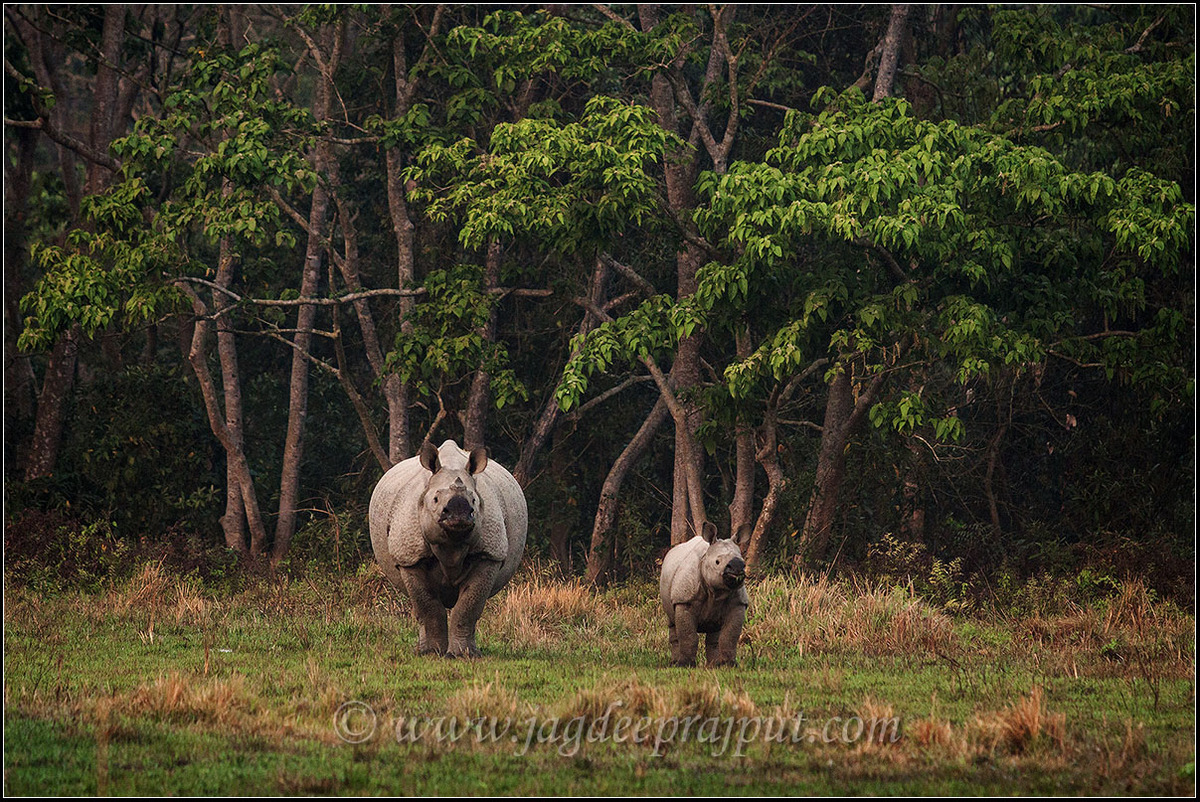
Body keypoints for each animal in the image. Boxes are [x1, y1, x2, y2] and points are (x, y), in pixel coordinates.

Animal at [369, 439, 527, 658]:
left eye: (474, 501)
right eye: (435, 500)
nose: (459, 514)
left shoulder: (489, 554)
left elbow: (468, 607)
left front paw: (464, 655)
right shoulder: (410, 557)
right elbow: (427, 606)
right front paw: (432, 653)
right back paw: (421, 650)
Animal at [659, 522, 749, 667]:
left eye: (744, 563)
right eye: (717, 562)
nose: (737, 567)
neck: (717, 591)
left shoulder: (739, 603)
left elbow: (729, 637)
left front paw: (729, 665)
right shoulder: (684, 600)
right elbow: (688, 636)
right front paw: (685, 665)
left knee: (714, 633)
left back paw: (714, 665)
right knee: (672, 623)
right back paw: (674, 663)